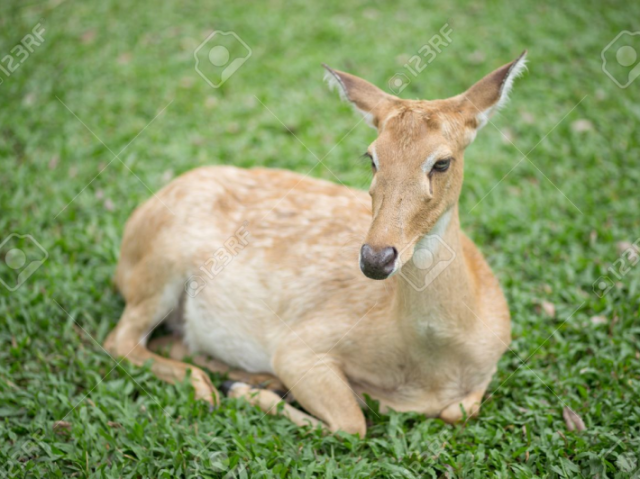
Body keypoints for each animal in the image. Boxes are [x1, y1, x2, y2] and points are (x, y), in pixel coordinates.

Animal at [104, 51, 524, 436]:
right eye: (371, 157)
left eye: (442, 162)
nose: (375, 257)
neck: (434, 368)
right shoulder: (299, 345)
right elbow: (352, 424)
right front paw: (246, 391)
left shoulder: (487, 369)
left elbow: (460, 410)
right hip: (158, 268)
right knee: (120, 340)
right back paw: (221, 387)